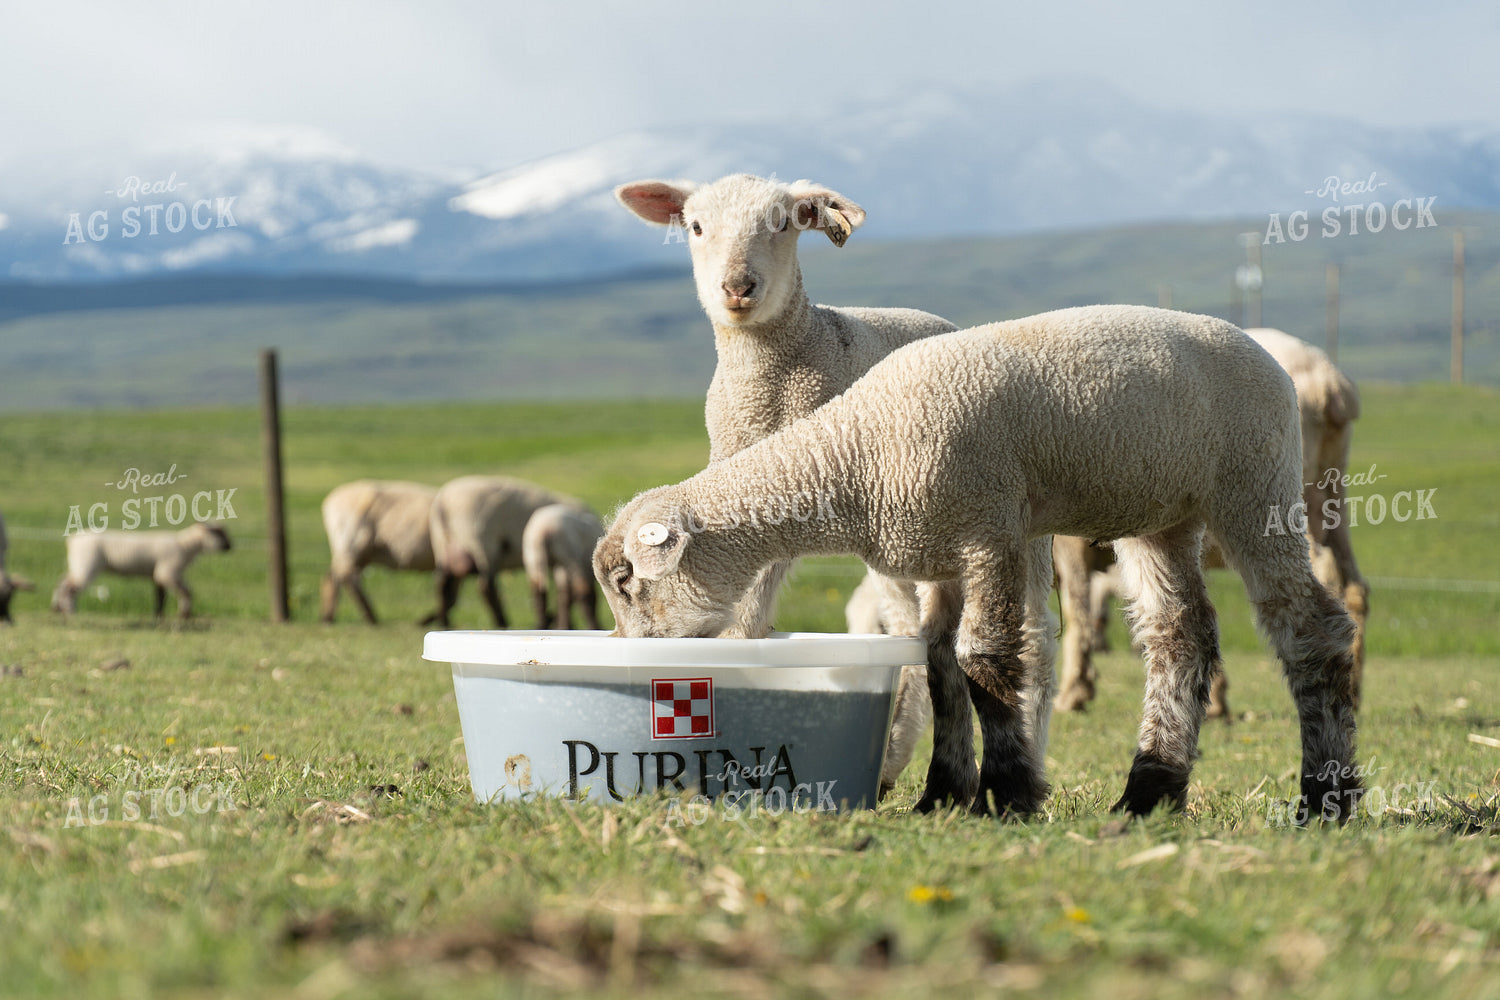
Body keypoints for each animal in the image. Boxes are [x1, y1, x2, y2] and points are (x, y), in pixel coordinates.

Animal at [51, 521, 232, 620]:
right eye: (218, 533)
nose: (231, 546)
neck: (186, 546)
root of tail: (73, 539)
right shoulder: (168, 572)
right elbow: (186, 592)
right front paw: (184, 615)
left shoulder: (160, 575)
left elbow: (161, 596)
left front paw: (159, 615)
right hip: (87, 564)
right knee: (70, 587)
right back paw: (69, 610)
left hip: (78, 565)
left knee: (62, 582)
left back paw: (56, 608)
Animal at [319, 480, 439, 624]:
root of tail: (330, 500)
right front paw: (427, 620)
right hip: (352, 542)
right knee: (345, 577)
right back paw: (369, 617)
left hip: (360, 553)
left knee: (335, 577)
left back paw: (329, 617)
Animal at [429, 475, 575, 629]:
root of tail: (442, 502)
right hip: (483, 543)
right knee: (486, 587)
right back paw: (502, 622)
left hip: (443, 544)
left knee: (442, 583)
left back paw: (444, 622)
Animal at [595, 306, 1364, 822]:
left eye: (628, 582)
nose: (631, 654)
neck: (853, 457)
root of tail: (1268, 355)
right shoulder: (941, 555)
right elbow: (938, 665)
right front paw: (944, 793)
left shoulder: (988, 530)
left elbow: (985, 658)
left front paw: (1009, 790)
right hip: (1161, 515)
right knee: (1181, 635)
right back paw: (1150, 789)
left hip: (1256, 486)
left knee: (1311, 630)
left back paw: (1326, 796)